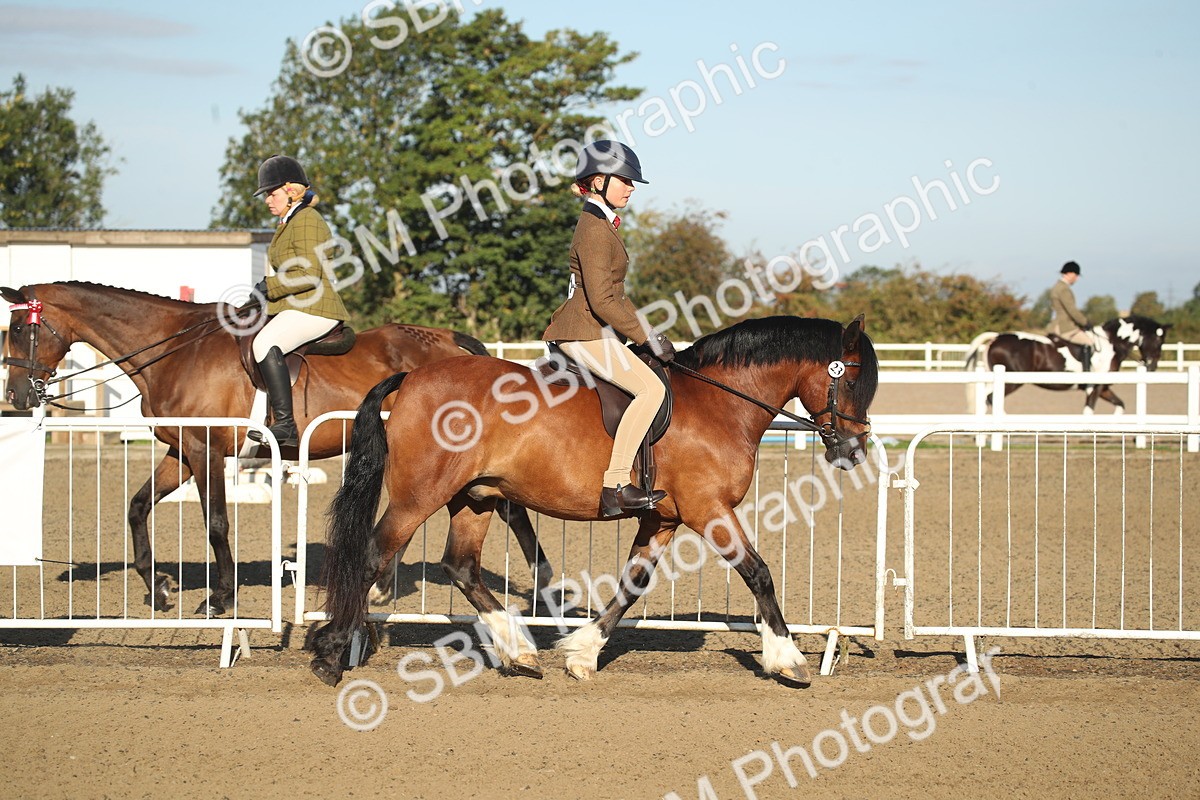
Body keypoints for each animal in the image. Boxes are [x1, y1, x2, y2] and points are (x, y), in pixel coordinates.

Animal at [1, 281, 552, 615]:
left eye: (22, 329)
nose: (17, 396)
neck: (175, 350)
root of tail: (455, 344)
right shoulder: (181, 452)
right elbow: (138, 506)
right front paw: (157, 589)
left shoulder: (205, 452)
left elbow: (216, 524)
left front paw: (219, 599)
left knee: (505, 512)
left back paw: (544, 589)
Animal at [309, 314, 878, 688]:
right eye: (850, 377)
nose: (853, 451)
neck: (719, 403)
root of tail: (412, 377)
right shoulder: (709, 510)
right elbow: (758, 572)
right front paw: (787, 658)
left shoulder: (663, 519)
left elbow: (632, 585)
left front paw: (582, 654)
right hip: (419, 496)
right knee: (372, 555)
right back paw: (333, 654)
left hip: (475, 498)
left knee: (462, 567)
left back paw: (519, 652)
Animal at [964, 315, 1171, 413]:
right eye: (1158, 341)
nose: (1152, 366)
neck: (1111, 343)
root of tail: (996, 337)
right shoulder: (1095, 387)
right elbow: (1088, 411)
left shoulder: (1104, 388)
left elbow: (1120, 405)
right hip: (1012, 381)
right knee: (991, 398)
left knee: (984, 398)